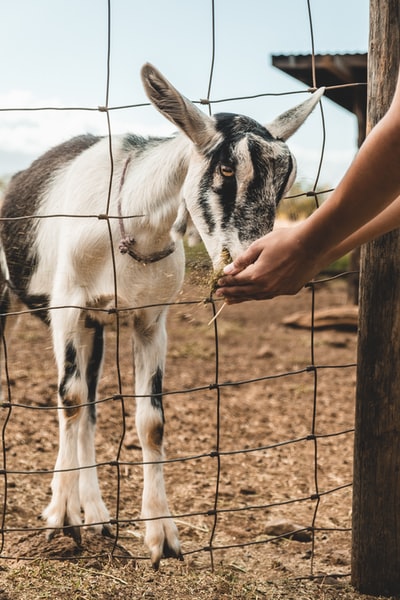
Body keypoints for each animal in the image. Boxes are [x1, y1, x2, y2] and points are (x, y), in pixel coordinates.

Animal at [0, 64, 324, 568]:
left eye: (284, 183)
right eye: (226, 169)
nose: (251, 260)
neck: (131, 226)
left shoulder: (151, 321)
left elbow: (149, 422)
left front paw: (162, 537)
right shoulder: (68, 306)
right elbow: (68, 400)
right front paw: (60, 518)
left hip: (96, 327)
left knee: (90, 408)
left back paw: (96, 513)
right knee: (73, 400)